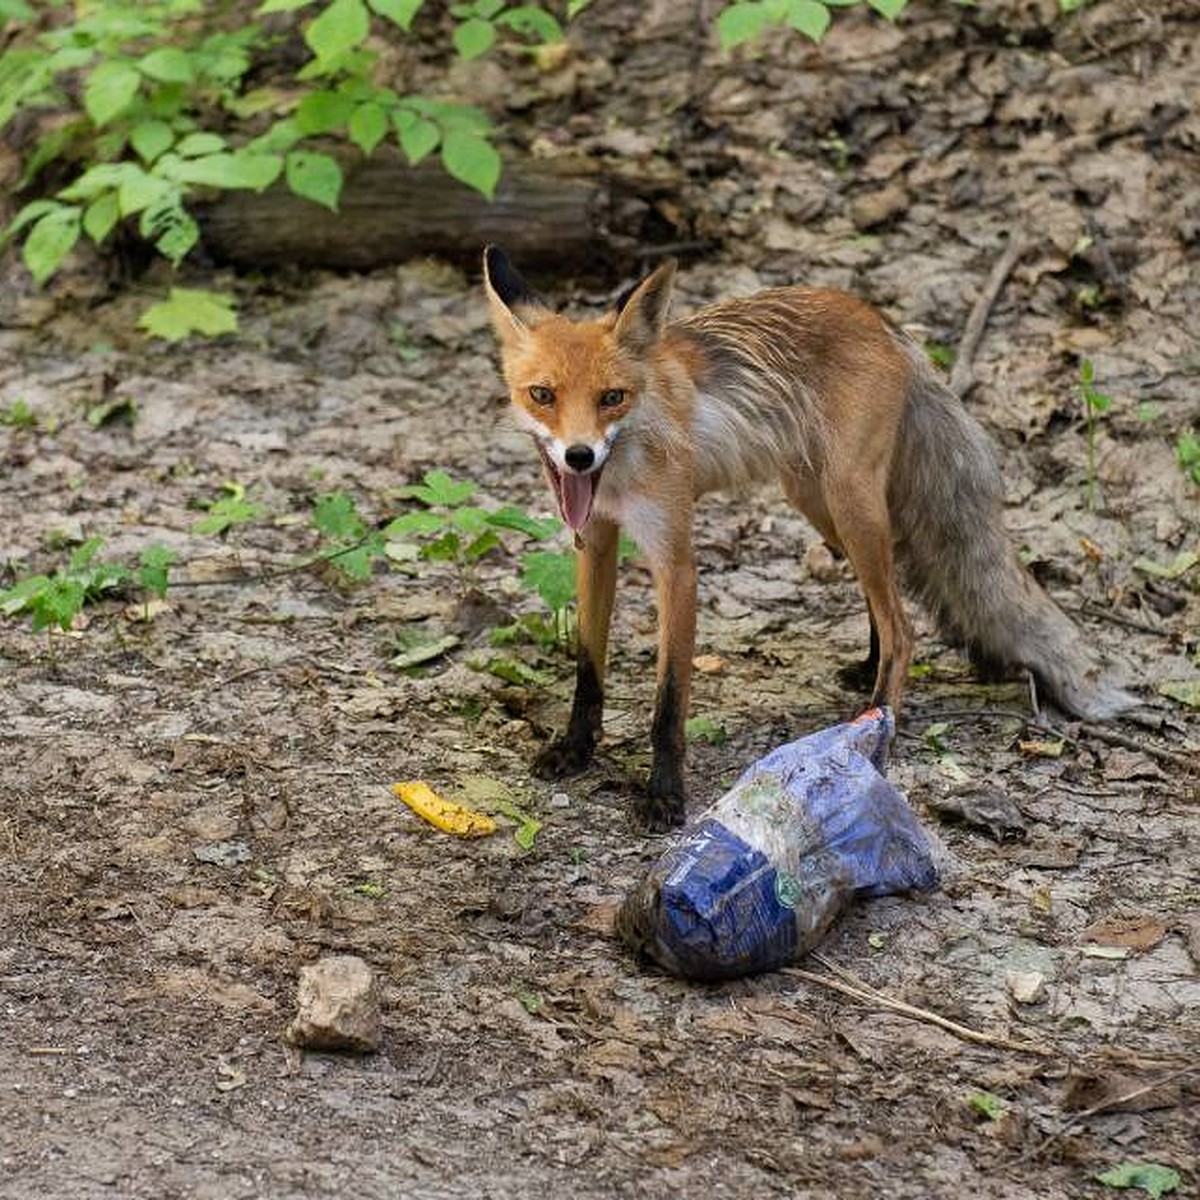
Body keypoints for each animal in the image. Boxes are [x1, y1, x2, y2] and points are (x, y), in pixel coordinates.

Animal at [480, 243, 1132, 825]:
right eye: (543, 395)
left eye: (612, 397)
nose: (579, 456)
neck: (624, 466)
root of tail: (880, 318)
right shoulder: (595, 543)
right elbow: (588, 667)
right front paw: (576, 749)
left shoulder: (677, 564)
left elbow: (668, 702)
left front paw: (663, 795)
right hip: (819, 503)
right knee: (883, 599)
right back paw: (865, 672)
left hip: (849, 500)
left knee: (904, 627)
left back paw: (875, 727)